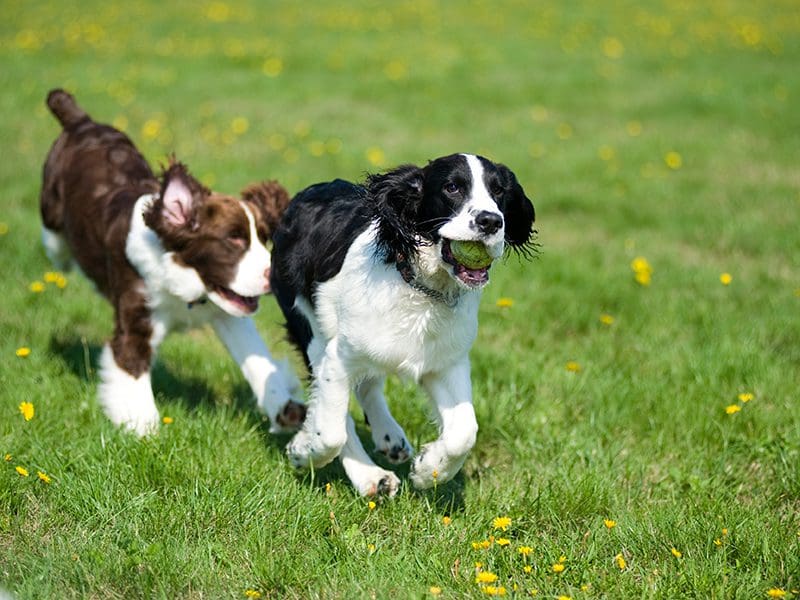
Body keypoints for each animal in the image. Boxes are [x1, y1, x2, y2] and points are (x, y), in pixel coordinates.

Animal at [39, 89, 304, 434]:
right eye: (233, 240)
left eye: (263, 238)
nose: (275, 276)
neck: (183, 281)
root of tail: (81, 122)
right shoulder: (137, 317)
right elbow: (132, 369)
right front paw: (145, 431)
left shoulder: (228, 315)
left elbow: (257, 358)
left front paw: (287, 411)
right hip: (51, 209)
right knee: (55, 243)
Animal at [270, 154, 536, 496]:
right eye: (452, 187)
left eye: (499, 190)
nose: (490, 221)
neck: (418, 287)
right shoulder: (338, 358)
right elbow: (331, 432)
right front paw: (302, 452)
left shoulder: (446, 363)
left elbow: (464, 432)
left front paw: (427, 470)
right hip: (310, 329)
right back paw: (371, 476)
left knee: (368, 384)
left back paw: (390, 438)